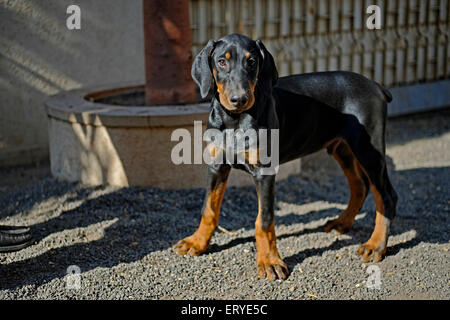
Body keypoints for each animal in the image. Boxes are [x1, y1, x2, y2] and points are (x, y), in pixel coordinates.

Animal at [172, 33, 398, 280]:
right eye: (222, 62)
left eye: (252, 62)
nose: (239, 99)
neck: (234, 120)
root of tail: (376, 85)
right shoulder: (216, 165)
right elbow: (209, 208)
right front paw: (197, 242)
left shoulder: (264, 172)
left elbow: (264, 220)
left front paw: (269, 261)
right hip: (343, 148)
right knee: (359, 186)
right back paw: (342, 223)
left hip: (369, 150)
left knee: (386, 196)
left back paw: (375, 245)